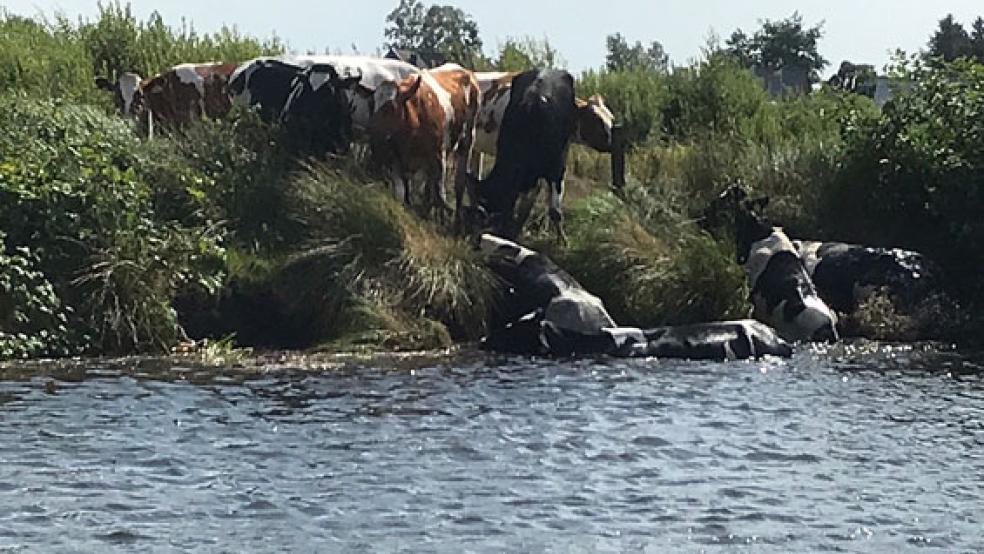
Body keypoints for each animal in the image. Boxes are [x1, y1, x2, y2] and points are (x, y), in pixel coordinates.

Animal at [367, 64, 479, 222]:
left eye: (391, 107)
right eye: (372, 104)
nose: (370, 129)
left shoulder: (438, 156)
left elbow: (440, 193)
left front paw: (441, 218)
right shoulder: (396, 160)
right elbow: (401, 192)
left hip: (467, 140)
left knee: (459, 182)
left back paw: (455, 218)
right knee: (429, 185)